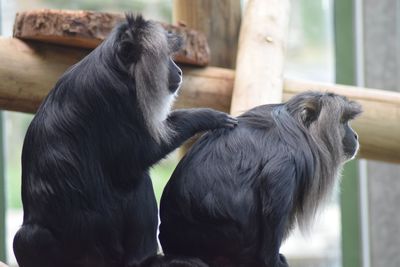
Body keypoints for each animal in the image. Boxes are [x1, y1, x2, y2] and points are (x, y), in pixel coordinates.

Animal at [13, 14, 238, 267]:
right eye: (166, 59)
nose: (179, 71)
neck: (117, 68)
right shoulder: (116, 96)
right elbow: (135, 158)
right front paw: (206, 116)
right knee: (136, 178)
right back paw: (145, 259)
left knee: (26, 238)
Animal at [159, 92, 362, 267]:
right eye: (342, 122)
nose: (355, 135)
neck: (297, 127)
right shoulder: (288, 161)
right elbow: (273, 206)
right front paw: (273, 261)